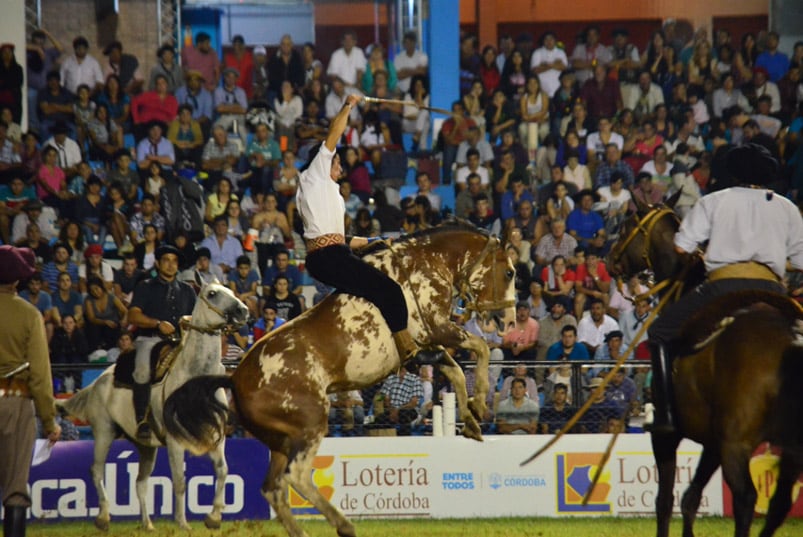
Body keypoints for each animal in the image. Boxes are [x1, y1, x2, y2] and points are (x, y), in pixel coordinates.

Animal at [59, 276, 247, 532]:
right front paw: (183, 523)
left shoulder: (215, 436)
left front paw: (214, 517)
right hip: (104, 431)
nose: (243, 310)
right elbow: (179, 481)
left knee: (140, 483)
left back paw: (147, 524)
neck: (195, 378)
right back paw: (104, 518)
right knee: (96, 470)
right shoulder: (176, 441)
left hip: (145, 446)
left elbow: (223, 471)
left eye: (230, 290)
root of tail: (98, 381)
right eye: (212, 293)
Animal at [164, 223, 520, 536]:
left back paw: (303, 530)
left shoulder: (426, 348)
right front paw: (480, 401)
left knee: (273, 489)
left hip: (281, 440)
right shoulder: (438, 330)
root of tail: (235, 379)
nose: (509, 321)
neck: (423, 265)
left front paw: (472, 419)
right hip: (310, 423)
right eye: (510, 272)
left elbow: (457, 370)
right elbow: (480, 348)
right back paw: (343, 523)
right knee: (297, 477)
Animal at [608, 199, 803, 536]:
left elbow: (664, 501)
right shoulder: (713, 442)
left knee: (746, 497)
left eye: (625, 227)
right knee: (778, 504)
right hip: (786, 446)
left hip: (737, 444)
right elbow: (690, 498)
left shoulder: (667, 437)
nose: (609, 260)